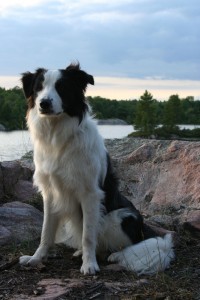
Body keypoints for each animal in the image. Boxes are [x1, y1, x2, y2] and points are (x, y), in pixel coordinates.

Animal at [19, 63, 174, 274]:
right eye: (39, 88)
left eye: (62, 87)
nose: (44, 103)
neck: (57, 136)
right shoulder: (50, 192)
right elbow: (46, 232)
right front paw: (36, 258)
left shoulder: (90, 193)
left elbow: (88, 236)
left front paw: (89, 265)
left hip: (123, 217)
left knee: (126, 243)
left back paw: (115, 255)